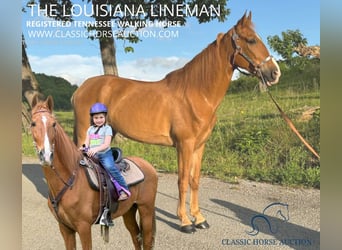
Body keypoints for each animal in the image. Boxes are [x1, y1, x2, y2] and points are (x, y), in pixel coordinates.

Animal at [29, 94, 158, 249]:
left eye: (53, 124)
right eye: (33, 123)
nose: (46, 156)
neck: (71, 181)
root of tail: (148, 166)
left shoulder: (84, 227)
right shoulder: (65, 228)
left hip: (146, 210)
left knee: (146, 240)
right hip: (129, 211)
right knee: (135, 236)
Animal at [72, 12, 280, 233]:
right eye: (251, 40)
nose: (275, 72)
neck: (196, 93)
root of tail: (81, 88)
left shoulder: (199, 146)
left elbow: (194, 180)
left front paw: (199, 218)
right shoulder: (184, 145)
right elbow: (183, 181)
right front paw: (186, 221)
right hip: (86, 133)